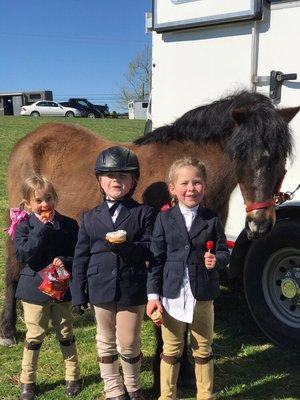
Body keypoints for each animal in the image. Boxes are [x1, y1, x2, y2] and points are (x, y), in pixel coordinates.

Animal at [1, 90, 298, 354]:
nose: (260, 225)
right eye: (239, 154)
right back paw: (8, 331)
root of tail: (30, 139)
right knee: (13, 270)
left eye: (280, 158)